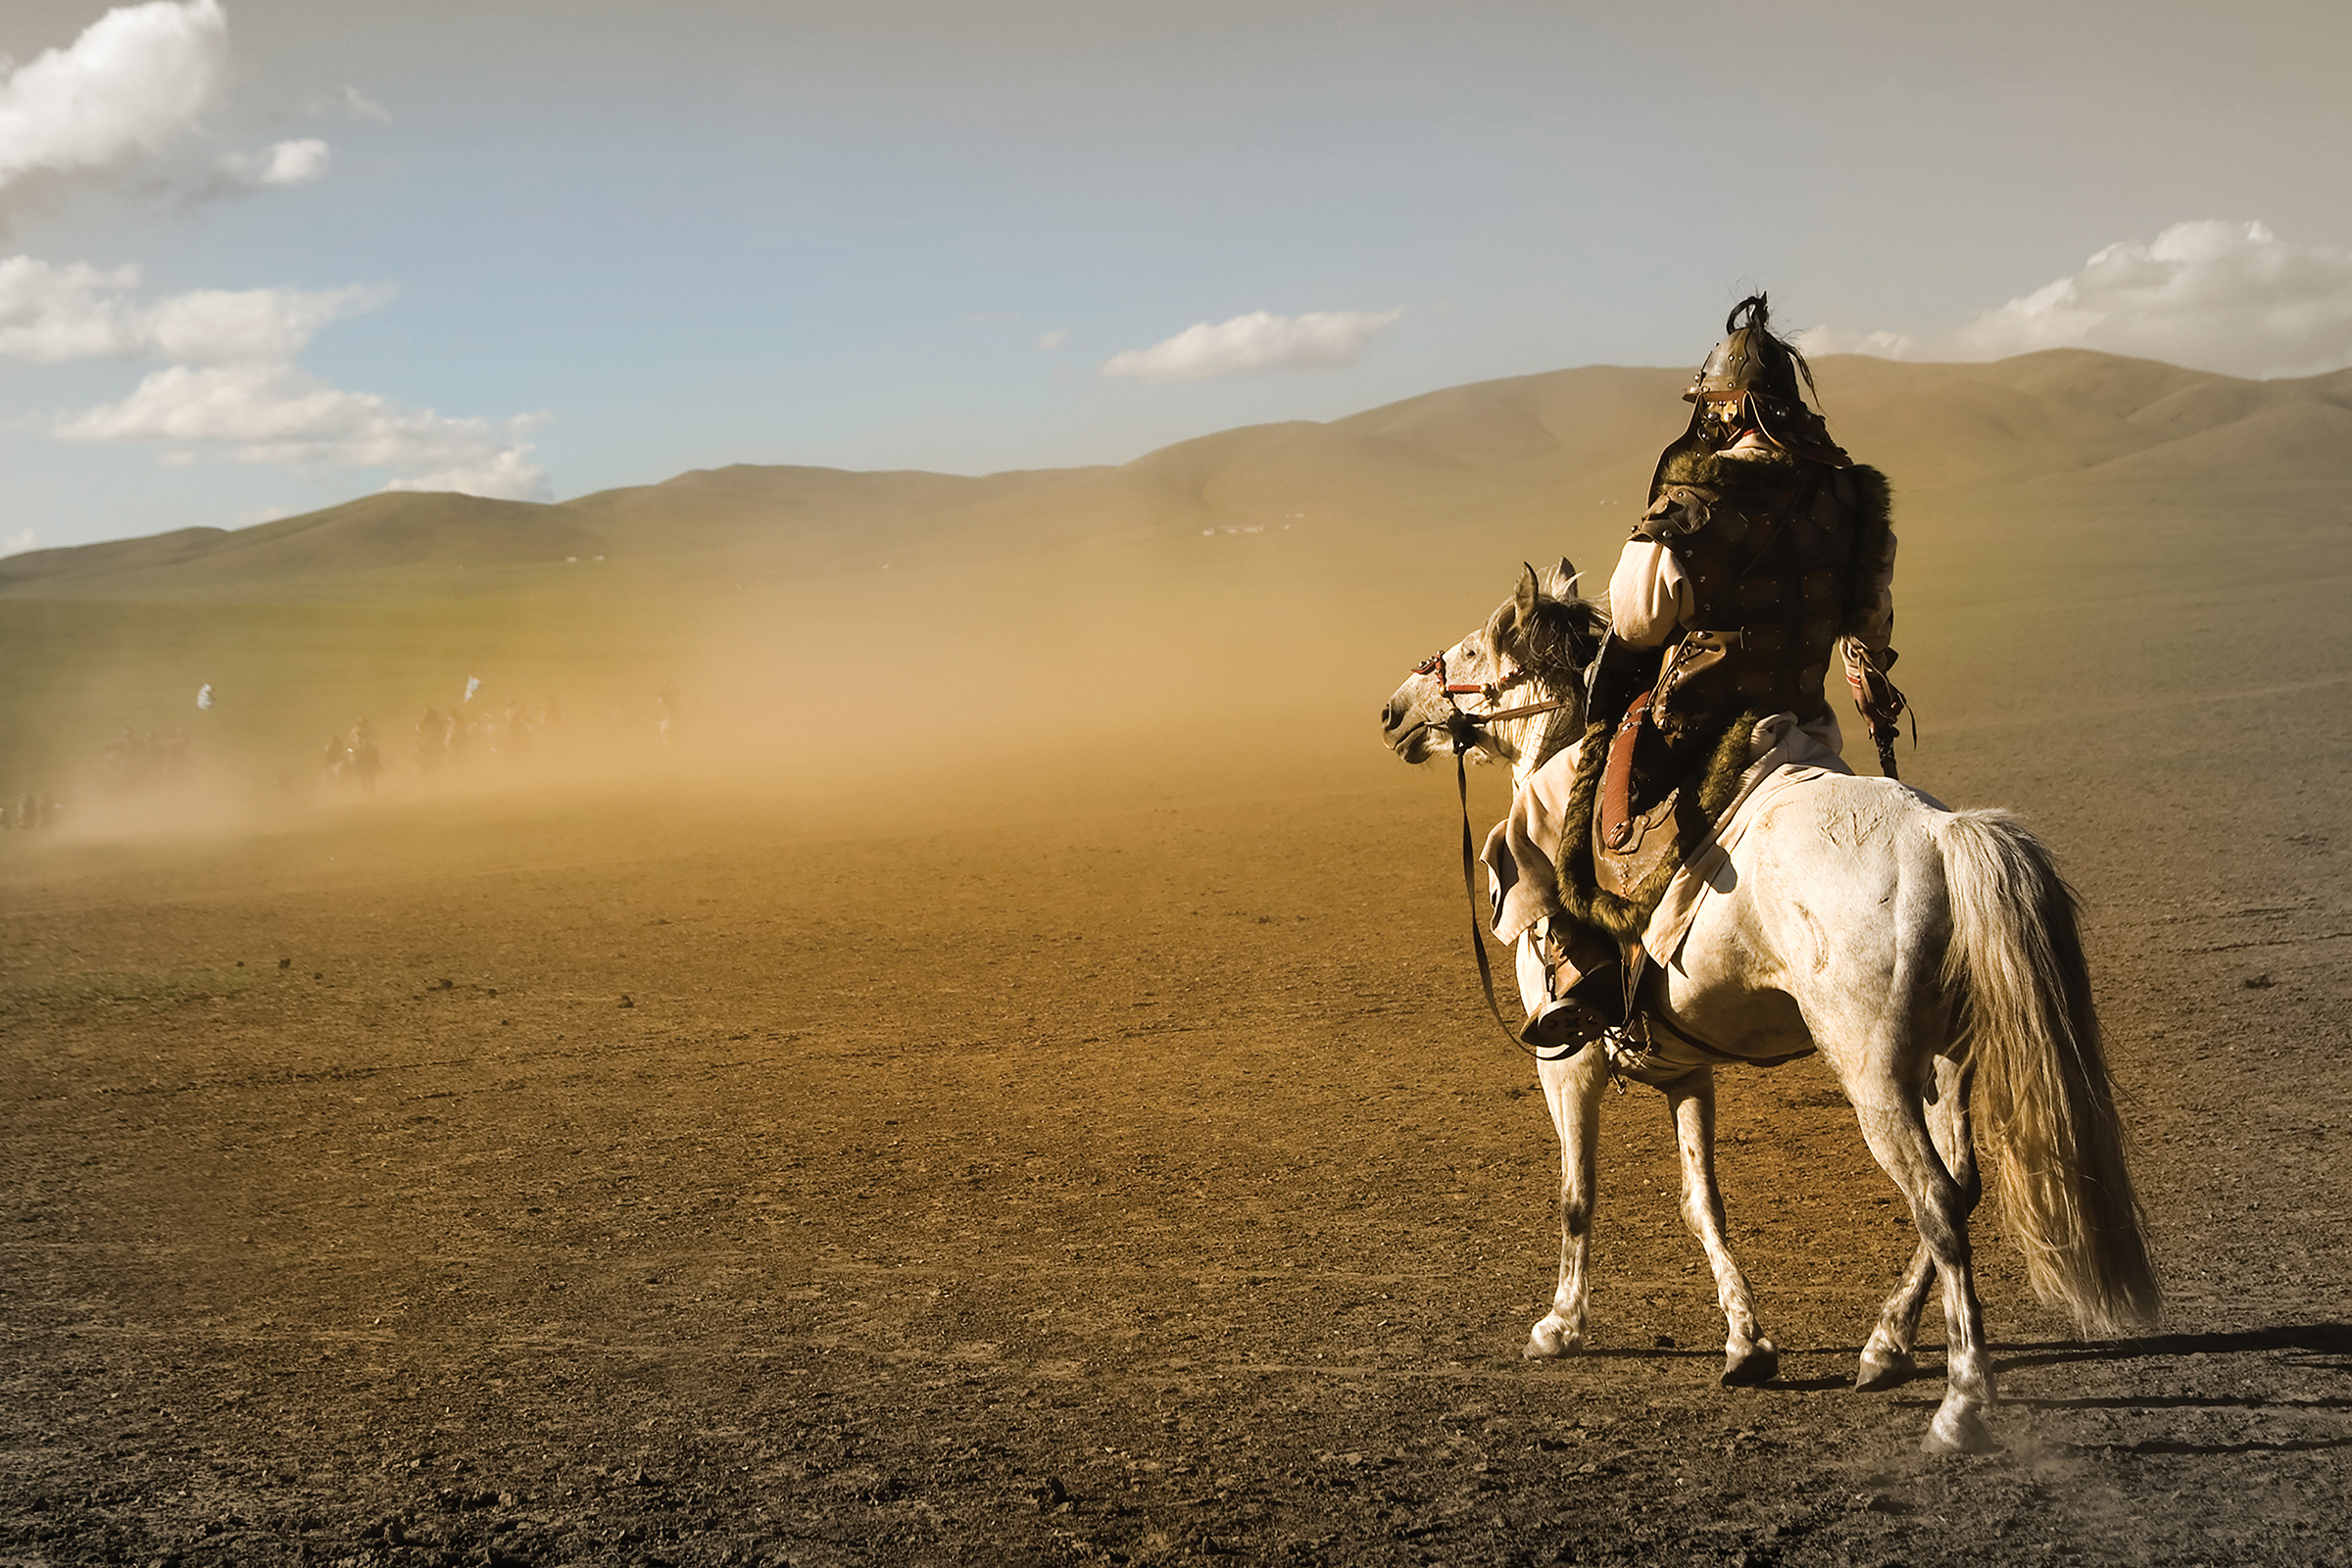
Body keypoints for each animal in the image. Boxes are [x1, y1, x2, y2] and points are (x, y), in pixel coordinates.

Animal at [1373, 557, 2164, 1457]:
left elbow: (1578, 1194)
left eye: (1475, 646)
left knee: (1935, 1200)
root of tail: (1943, 837)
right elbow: (1702, 1203)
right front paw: (1746, 1343)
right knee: (1961, 1187)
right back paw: (1886, 1346)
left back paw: (1961, 1403)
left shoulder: (1564, 1066)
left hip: (1875, 1074)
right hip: (1946, 1062)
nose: (1395, 711)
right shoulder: (1685, 1070)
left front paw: (1560, 1326)